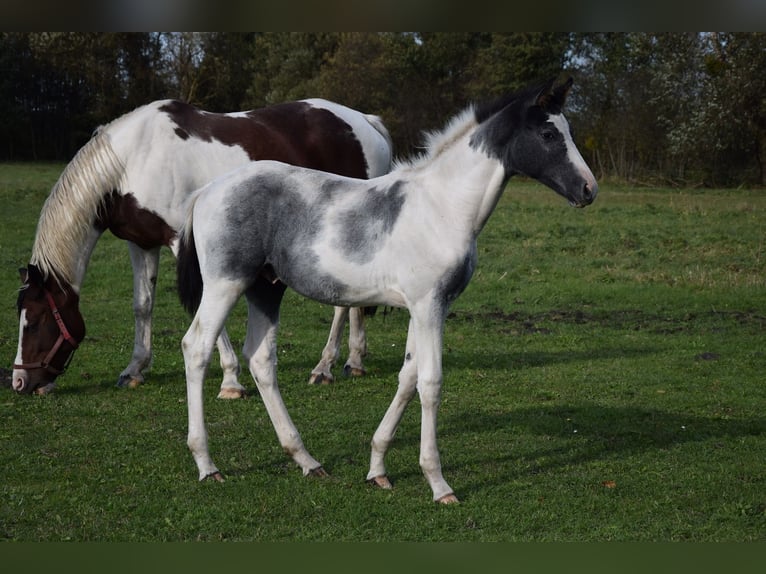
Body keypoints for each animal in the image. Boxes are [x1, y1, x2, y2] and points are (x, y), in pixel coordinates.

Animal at [12, 98, 392, 396]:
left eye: (36, 321)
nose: (19, 382)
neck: (132, 161)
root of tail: (366, 122)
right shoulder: (142, 244)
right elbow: (142, 305)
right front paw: (134, 369)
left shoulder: (181, 242)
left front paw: (231, 381)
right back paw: (354, 361)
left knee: (341, 306)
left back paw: (323, 367)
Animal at [178, 77, 600, 504]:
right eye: (548, 134)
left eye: (568, 131)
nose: (589, 189)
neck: (441, 208)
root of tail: (207, 192)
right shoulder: (429, 305)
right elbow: (430, 383)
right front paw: (438, 483)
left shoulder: (426, 307)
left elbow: (408, 377)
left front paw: (377, 469)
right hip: (225, 284)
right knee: (196, 347)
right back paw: (206, 464)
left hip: (266, 289)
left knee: (262, 359)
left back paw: (306, 460)